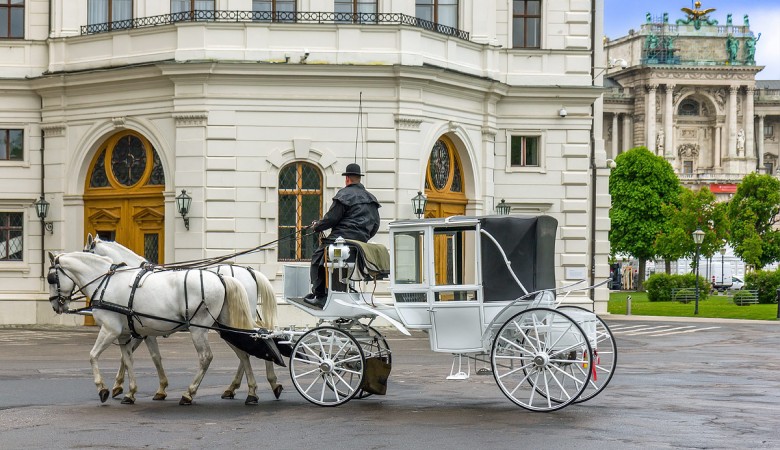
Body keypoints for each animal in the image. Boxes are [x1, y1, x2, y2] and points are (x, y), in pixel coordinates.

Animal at [48, 251, 262, 406]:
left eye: (51, 278)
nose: (55, 305)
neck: (106, 283)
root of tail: (221, 277)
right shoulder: (129, 334)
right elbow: (130, 359)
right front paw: (131, 392)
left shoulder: (110, 330)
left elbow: (93, 356)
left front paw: (103, 389)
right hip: (225, 327)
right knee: (243, 352)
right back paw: (250, 392)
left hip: (199, 329)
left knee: (206, 357)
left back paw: (189, 393)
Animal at [84, 236, 284, 400]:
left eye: (86, 250)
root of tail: (250, 272)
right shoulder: (142, 330)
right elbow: (140, 356)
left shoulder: (142, 330)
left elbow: (134, 356)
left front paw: (121, 386)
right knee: (253, 343)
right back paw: (248, 385)